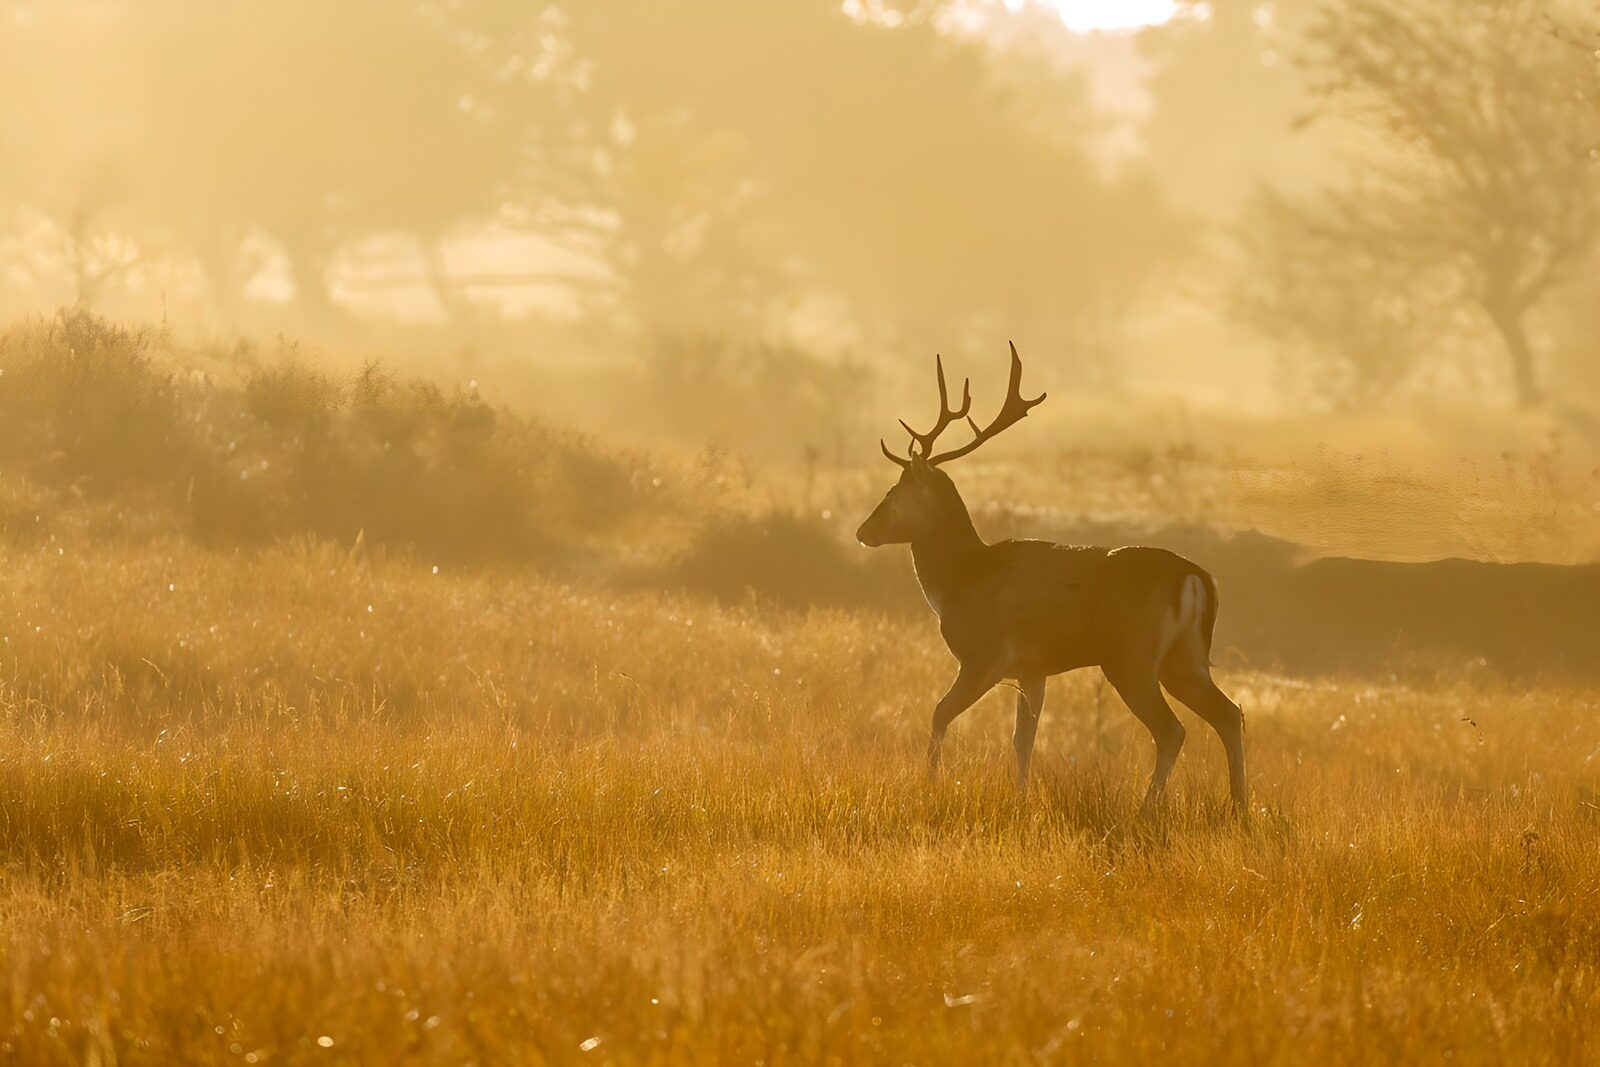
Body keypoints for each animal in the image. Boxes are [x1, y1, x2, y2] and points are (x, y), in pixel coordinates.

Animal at [855, 343, 1247, 814]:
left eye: (894, 492)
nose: (863, 531)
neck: (957, 580)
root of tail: (1195, 577)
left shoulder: (984, 656)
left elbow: (939, 713)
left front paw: (929, 785)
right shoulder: (1032, 669)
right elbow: (1023, 738)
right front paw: (1021, 798)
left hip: (1131, 656)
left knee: (1172, 729)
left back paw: (1146, 809)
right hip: (1184, 658)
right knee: (1230, 713)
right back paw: (1241, 808)